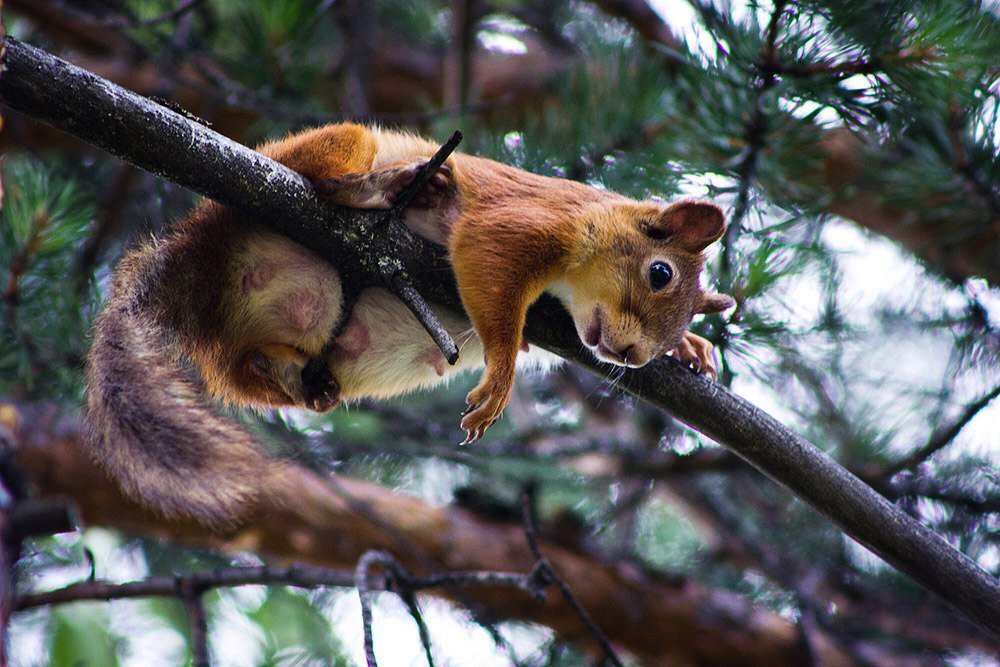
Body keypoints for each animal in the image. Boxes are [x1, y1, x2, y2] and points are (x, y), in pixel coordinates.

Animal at [84, 121, 736, 528]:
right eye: (660, 273)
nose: (631, 355)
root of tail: (200, 256)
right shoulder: (527, 220)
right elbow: (489, 264)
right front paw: (500, 377)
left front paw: (694, 347)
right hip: (327, 150)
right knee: (328, 174)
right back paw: (373, 187)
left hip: (275, 343)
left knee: (256, 369)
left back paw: (293, 377)